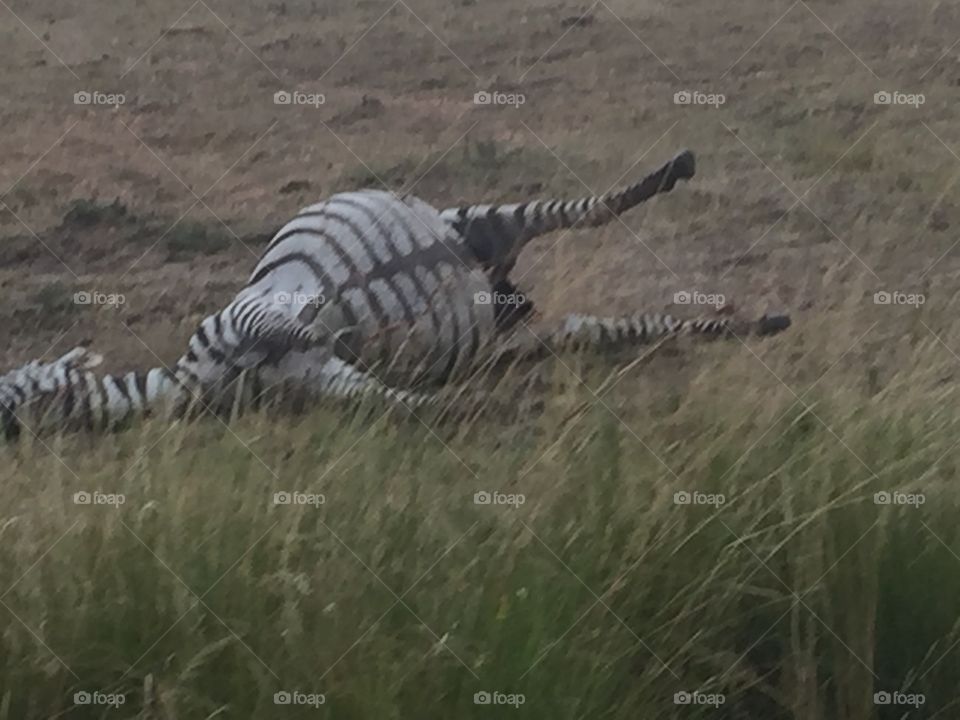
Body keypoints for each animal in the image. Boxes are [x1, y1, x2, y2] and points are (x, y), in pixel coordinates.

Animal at [1, 149, 790, 439]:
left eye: (11, 383)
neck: (197, 383)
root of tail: (497, 279)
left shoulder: (247, 313)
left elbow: (304, 323)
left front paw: (337, 320)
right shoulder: (327, 385)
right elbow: (405, 404)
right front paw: (483, 410)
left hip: (478, 219)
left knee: (590, 209)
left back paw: (674, 169)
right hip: (521, 329)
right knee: (616, 327)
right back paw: (761, 322)